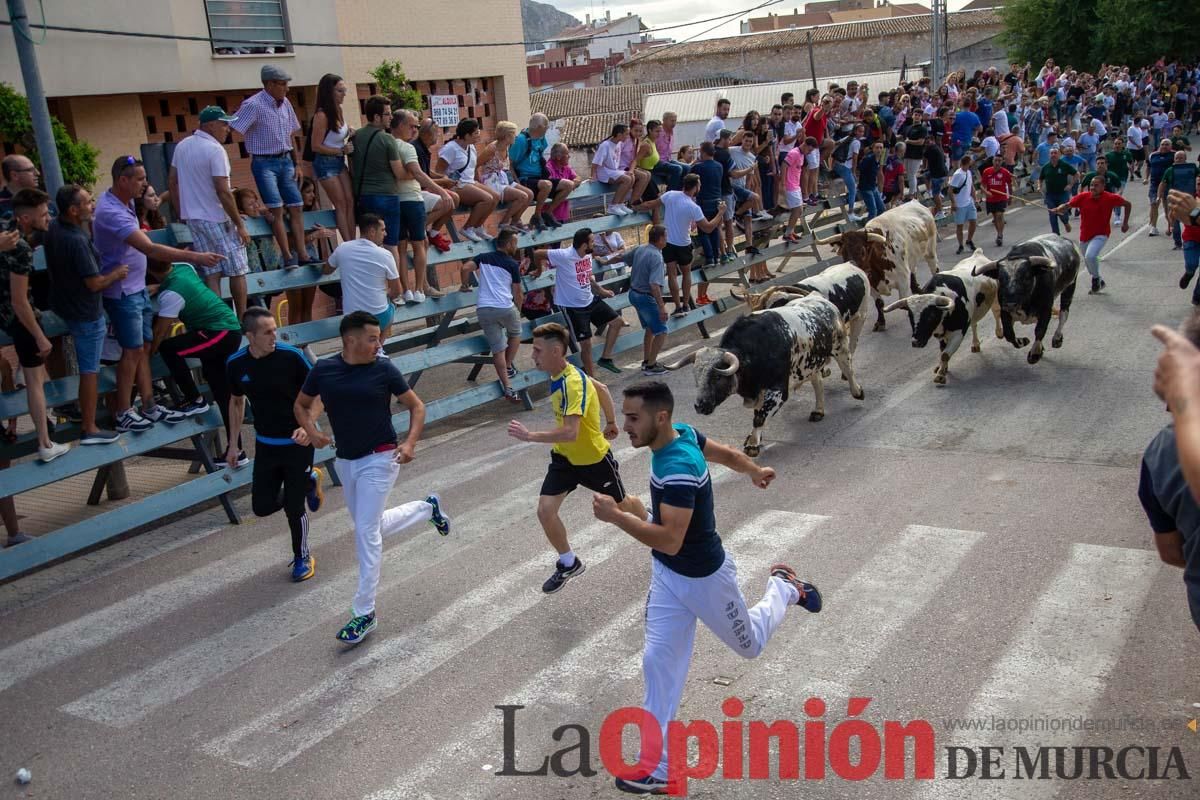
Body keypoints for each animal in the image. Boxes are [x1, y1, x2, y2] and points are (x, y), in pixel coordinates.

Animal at [667, 293, 864, 455]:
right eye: (696, 377)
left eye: (717, 376)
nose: (699, 406)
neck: (751, 353)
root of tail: (821, 300)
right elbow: (758, 413)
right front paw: (754, 439)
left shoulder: (778, 391)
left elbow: (759, 417)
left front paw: (753, 444)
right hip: (810, 363)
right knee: (817, 382)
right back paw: (818, 410)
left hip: (840, 348)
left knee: (848, 369)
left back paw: (857, 391)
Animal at [969, 232, 1084, 367]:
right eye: (1001, 279)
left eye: (1026, 277)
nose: (1010, 304)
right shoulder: (1005, 312)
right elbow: (1009, 334)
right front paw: (1023, 341)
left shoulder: (1046, 310)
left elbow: (1040, 331)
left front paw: (1035, 353)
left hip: (1070, 287)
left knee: (1063, 314)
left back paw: (1057, 338)